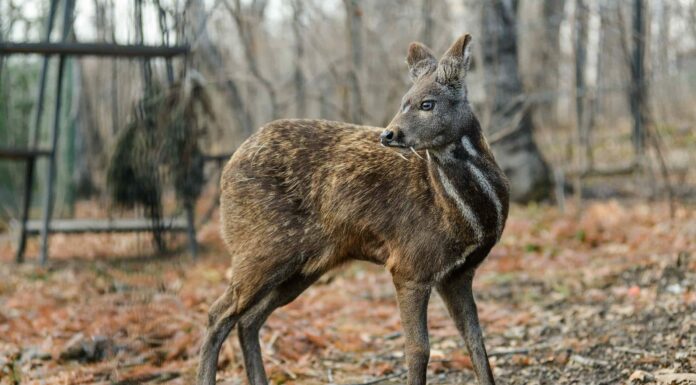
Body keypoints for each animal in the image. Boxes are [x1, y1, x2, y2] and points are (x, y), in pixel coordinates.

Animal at [198, 33, 508, 384]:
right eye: (404, 101)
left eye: (427, 103)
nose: (390, 134)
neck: (464, 218)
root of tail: (226, 170)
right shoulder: (410, 265)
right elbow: (418, 349)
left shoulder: (458, 273)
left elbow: (476, 341)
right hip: (260, 248)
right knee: (217, 314)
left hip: (304, 266)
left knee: (248, 319)